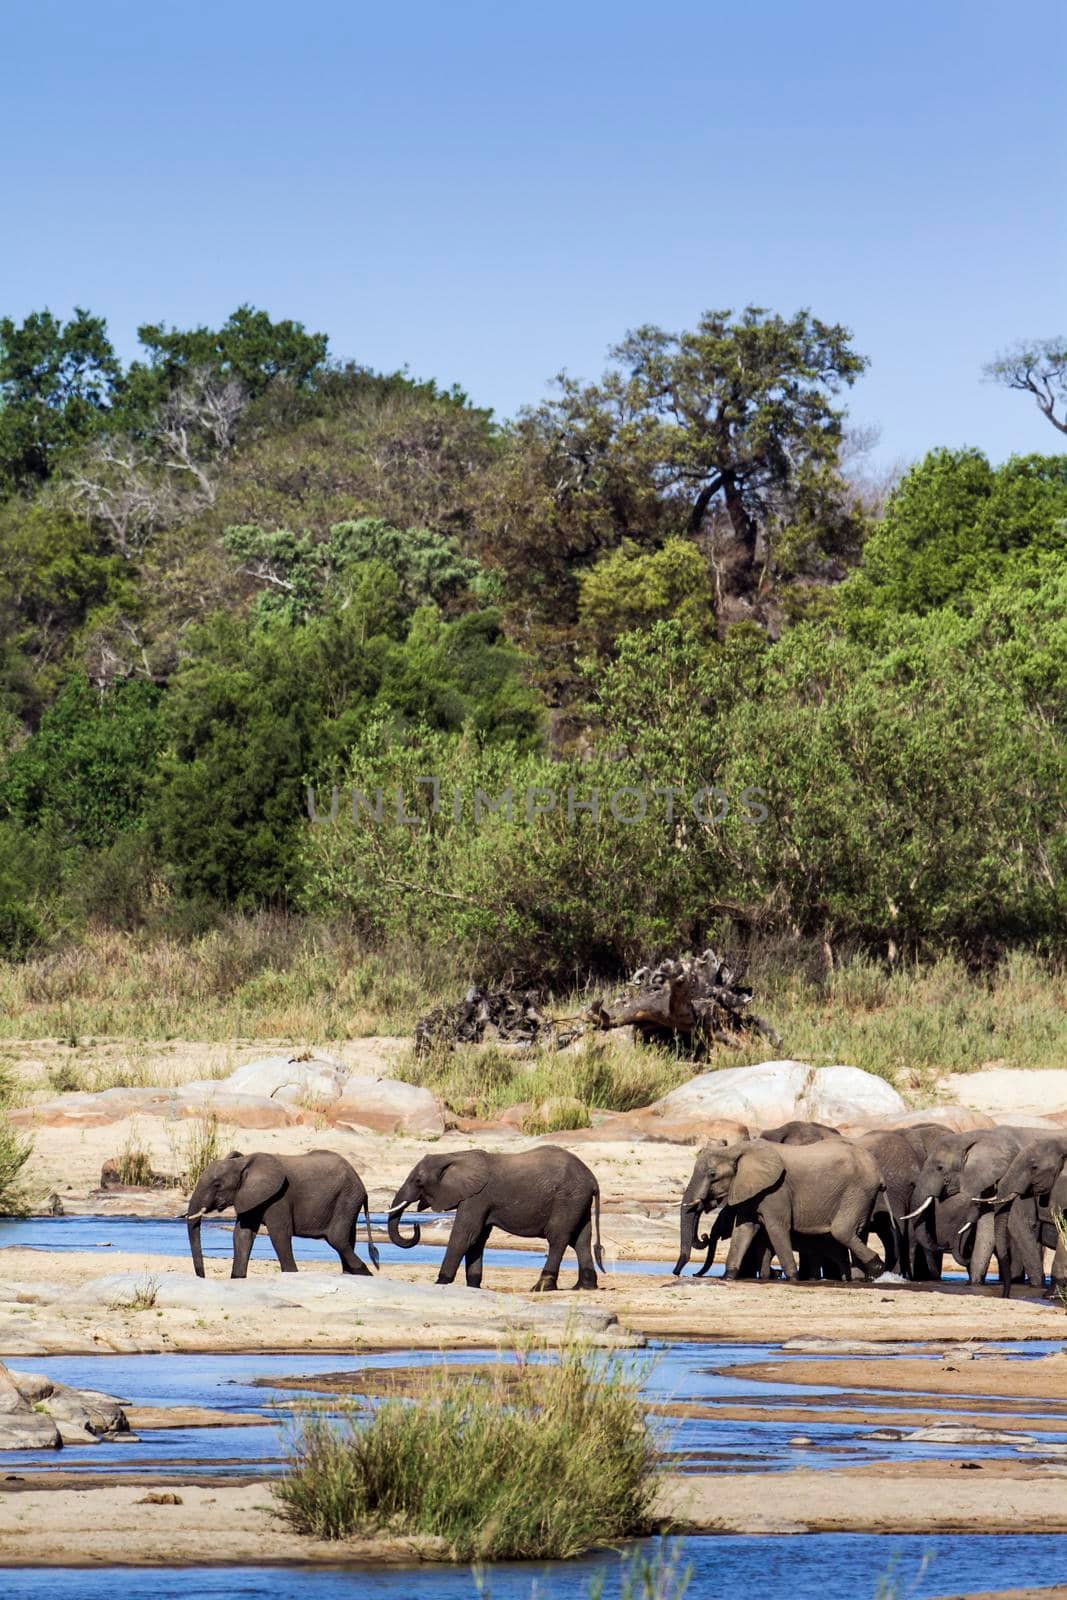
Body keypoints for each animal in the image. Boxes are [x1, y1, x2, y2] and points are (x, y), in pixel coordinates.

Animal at [183, 1152, 379, 1273]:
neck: (243, 1163)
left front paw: (291, 1273)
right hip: (348, 1200)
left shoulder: (278, 1198)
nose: (202, 1275)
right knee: (347, 1240)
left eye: (217, 1185)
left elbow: (279, 1234)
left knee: (337, 1239)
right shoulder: (250, 1197)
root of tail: (361, 1184)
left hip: (347, 1198)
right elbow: (242, 1235)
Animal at [385, 1145, 604, 1292]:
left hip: (567, 1198)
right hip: (578, 1199)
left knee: (558, 1237)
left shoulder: (477, 1197)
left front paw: (441, 1282)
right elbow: (477, 1239)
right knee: (581, 1240)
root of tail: (592, 1179)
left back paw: (541, 1287)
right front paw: (473, 1285)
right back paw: (583, 1287)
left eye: (418, 1181)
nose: (415, 1225)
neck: (454, 1155)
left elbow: (465, 1235)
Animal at [675, 1132, 883, 1280]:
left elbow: (776, 1227)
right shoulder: (752, 1190)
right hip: (862, 1194)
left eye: (712, 1174)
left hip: (858, 1190)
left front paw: (793, 1278)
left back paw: (878, 1268)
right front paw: (728, 1277)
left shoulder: (776, 1190)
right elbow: (743, 1229)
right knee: (858, 1232)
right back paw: (861, 1277)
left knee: (842, 1230)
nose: (681, 1273)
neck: (736, 1150)